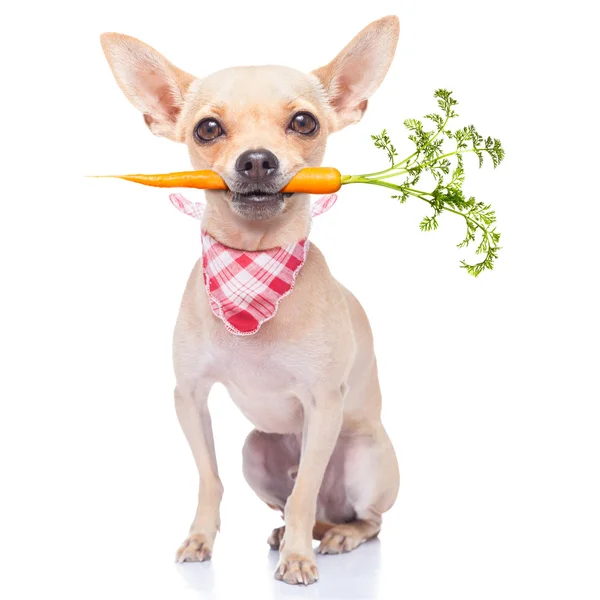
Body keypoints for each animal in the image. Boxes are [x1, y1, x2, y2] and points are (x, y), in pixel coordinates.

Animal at [101, 15, 400, 584]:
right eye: (207, 129)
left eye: (304, 122)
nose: (257, 160)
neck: (252, 268)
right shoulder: (190, 396)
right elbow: (209, 479)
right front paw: (200, 538)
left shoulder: (323, 405)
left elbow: (304, 492)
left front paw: (299, 560)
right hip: (254, 449)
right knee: (295, 504)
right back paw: (288, 533)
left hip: (364, 457)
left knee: (361, 518)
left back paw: (334, 536)